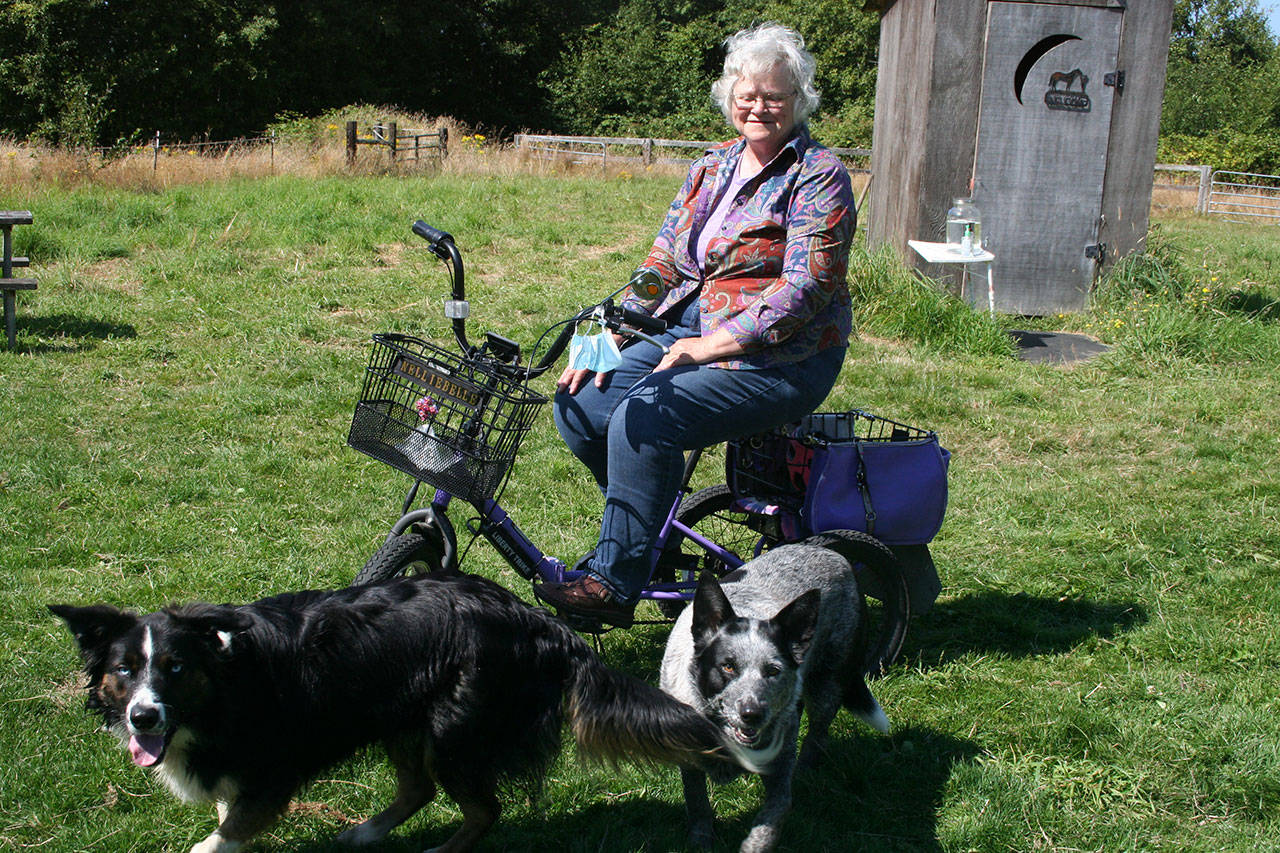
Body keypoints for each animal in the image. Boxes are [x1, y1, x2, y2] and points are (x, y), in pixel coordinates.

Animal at [660, 540, 890, 845]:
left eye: (773, 671)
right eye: (728, 666)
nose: (752, 714)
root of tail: (832, 552)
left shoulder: (779, 772)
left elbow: (773, 816)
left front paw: (754, 844)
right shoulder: (690, 761)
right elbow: (697, 803)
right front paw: (701, 840)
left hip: (826, 687)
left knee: (817, 735)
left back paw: (804, 772)